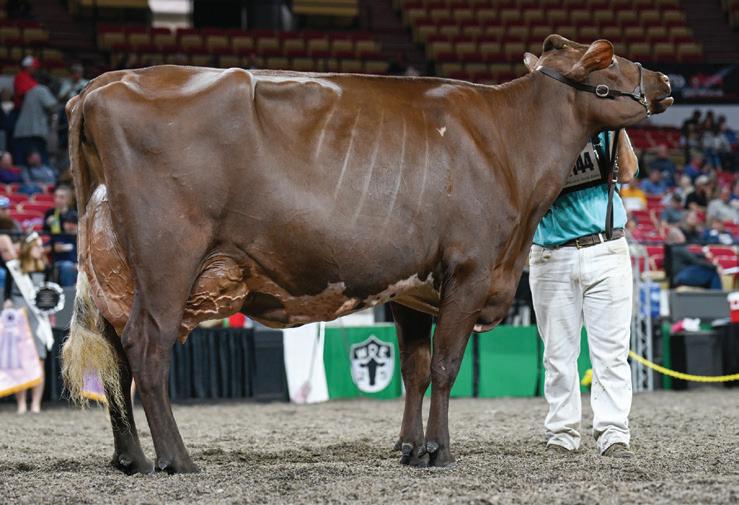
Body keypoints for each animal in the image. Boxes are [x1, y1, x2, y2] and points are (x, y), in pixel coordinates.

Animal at [62, 34, 672, 475]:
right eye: (616, 63)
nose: (666, 79)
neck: (508, 142)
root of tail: (104, 82)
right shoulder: (469, 267)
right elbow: (446, 365)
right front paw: (437, 451)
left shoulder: (410, 285)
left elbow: (414, 369)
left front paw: (408, 447)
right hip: (167, 258)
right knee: (148, 349)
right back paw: (177, 460)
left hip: (116, 268)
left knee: (114, 354)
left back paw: (131, 459)